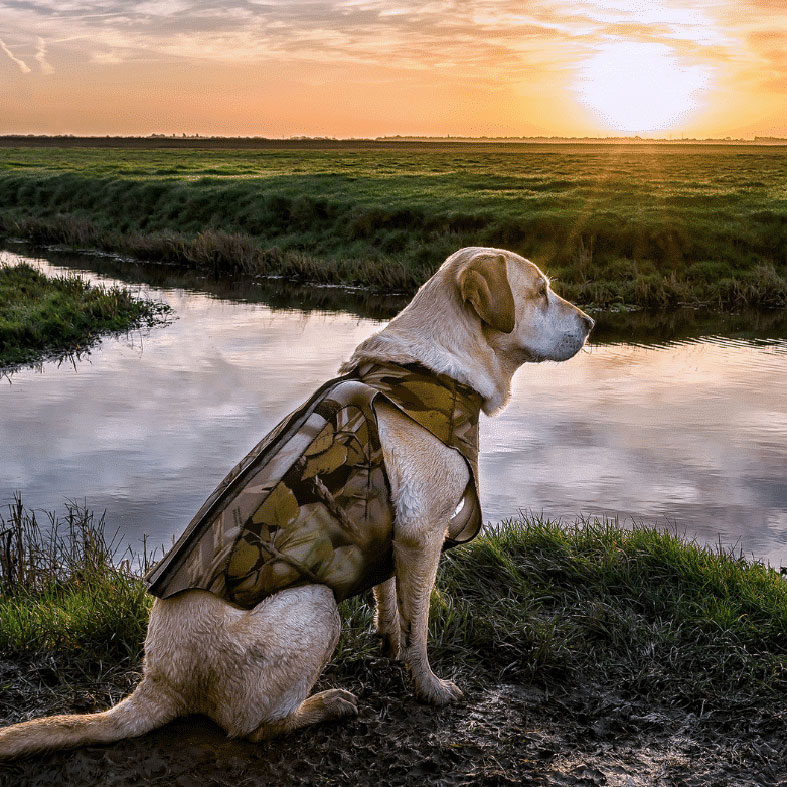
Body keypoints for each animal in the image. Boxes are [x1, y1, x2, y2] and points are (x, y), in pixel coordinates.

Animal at [0, 246, 596, 756]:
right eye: (541, 291)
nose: (591, 323)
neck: (434, 370)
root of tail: (159, 681)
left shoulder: (392, 533)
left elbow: (389, 599)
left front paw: (388, 640)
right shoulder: (423, 537)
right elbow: (420, 628)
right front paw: (428, 686)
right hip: (315, 605)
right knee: (250, 728)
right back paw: (323, 706)